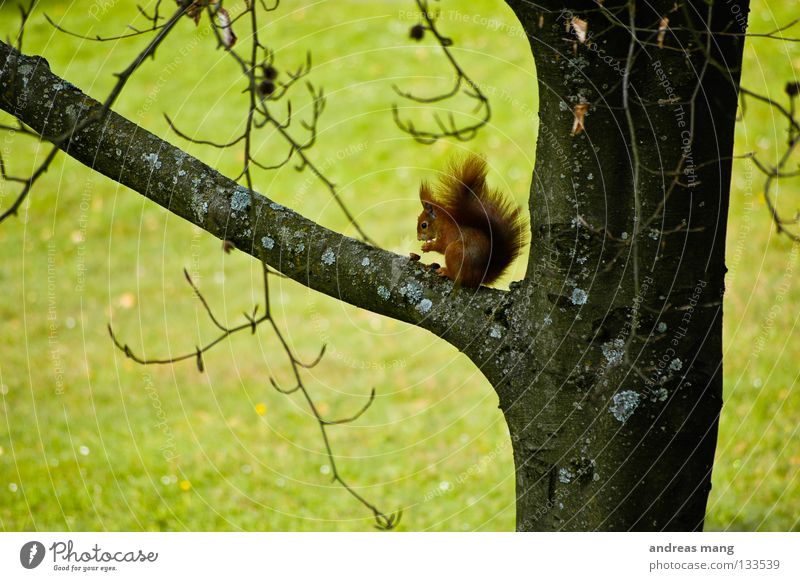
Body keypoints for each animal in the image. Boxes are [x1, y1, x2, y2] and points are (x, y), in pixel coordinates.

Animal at [410, 153, 528, 286]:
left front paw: (428, 246)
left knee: (457, 277)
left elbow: (441, 246)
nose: (418, 238)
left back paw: (446, 272)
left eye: (423, 225)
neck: (442, 224)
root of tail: (478, 278)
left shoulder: (448, 234)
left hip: (455, 252)